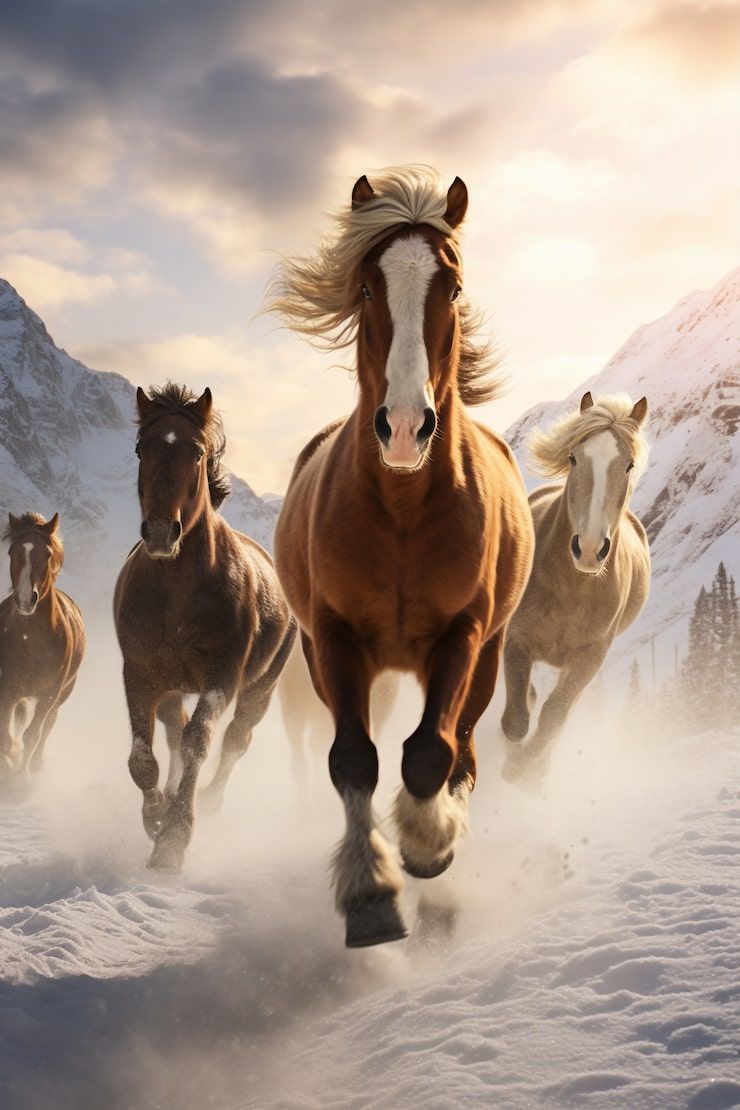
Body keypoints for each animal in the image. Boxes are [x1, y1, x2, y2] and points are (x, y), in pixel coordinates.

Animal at [0, 512, 85, 783]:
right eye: (12, 551)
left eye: (47, 554)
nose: (26, 600)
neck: (32, 640)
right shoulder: (7, 688)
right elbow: (5, 736)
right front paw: (8, 767)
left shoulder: (49, 693)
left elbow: (33, 734)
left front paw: (20, 777)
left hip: (62, 693)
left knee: (48, 724)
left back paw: (36, 765)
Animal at [114, 384, 296, 872]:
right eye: (140, 448)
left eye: (196, 452)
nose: (162, 533)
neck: (178, 592)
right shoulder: (140, 674)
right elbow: (143, 758)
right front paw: (156, 817)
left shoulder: (222, 677)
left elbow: (200, 741)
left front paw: (174, 839)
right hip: (173, 686)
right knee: (174, 730)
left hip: (260, 689)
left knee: (234, 739)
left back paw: (210, 801)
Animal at [268, 166, 534, 947]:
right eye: (365, 287)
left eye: (453, 285)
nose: (408, 427)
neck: (403, 509)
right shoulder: (332, 640)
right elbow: (354, 759)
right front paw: (370, 894)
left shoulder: (463, 633)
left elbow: (430, 754)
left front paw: (426, 842)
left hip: (488, 655)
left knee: (464, 747)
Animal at [501, 391, 651, 783]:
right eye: (573, 457)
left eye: (628, 465)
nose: (589, 548)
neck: (573, 588)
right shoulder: (516, 638)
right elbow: (517, 719)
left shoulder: (589, 658)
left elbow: (554, 715)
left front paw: (527, 772)